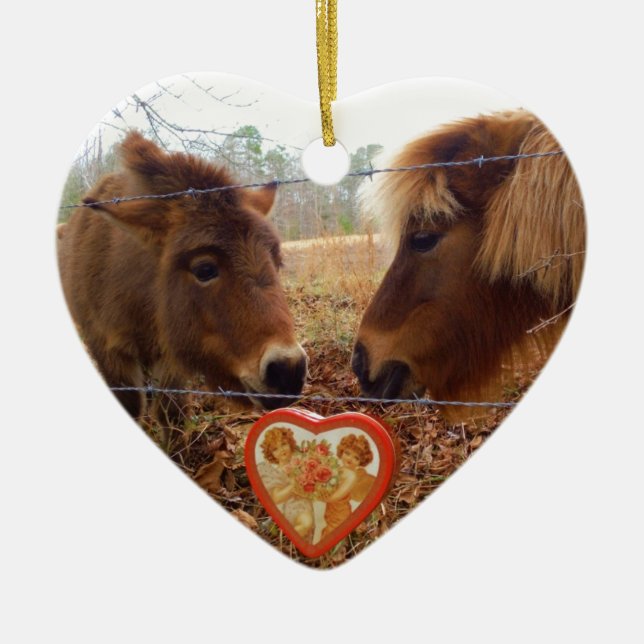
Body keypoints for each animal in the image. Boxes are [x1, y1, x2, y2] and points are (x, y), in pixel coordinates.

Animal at [58, 131, 307, 424]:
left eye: (278, 262)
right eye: (204, 269)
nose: (288, 370)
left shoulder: (170, 356)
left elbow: (172, 412)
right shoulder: (108, 350)